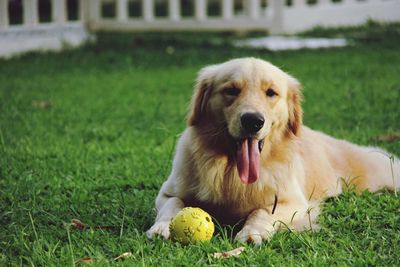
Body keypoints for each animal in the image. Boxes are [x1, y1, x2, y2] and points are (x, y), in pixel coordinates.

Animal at [148, 58, 400, 245]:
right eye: (231, 90)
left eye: (271, 93)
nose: (253, 121)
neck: (231, 173)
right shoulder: (167, 192)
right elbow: (174, 204)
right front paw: (162, 227)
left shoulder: (294, 203)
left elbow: (261, 212)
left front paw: (253, 232)